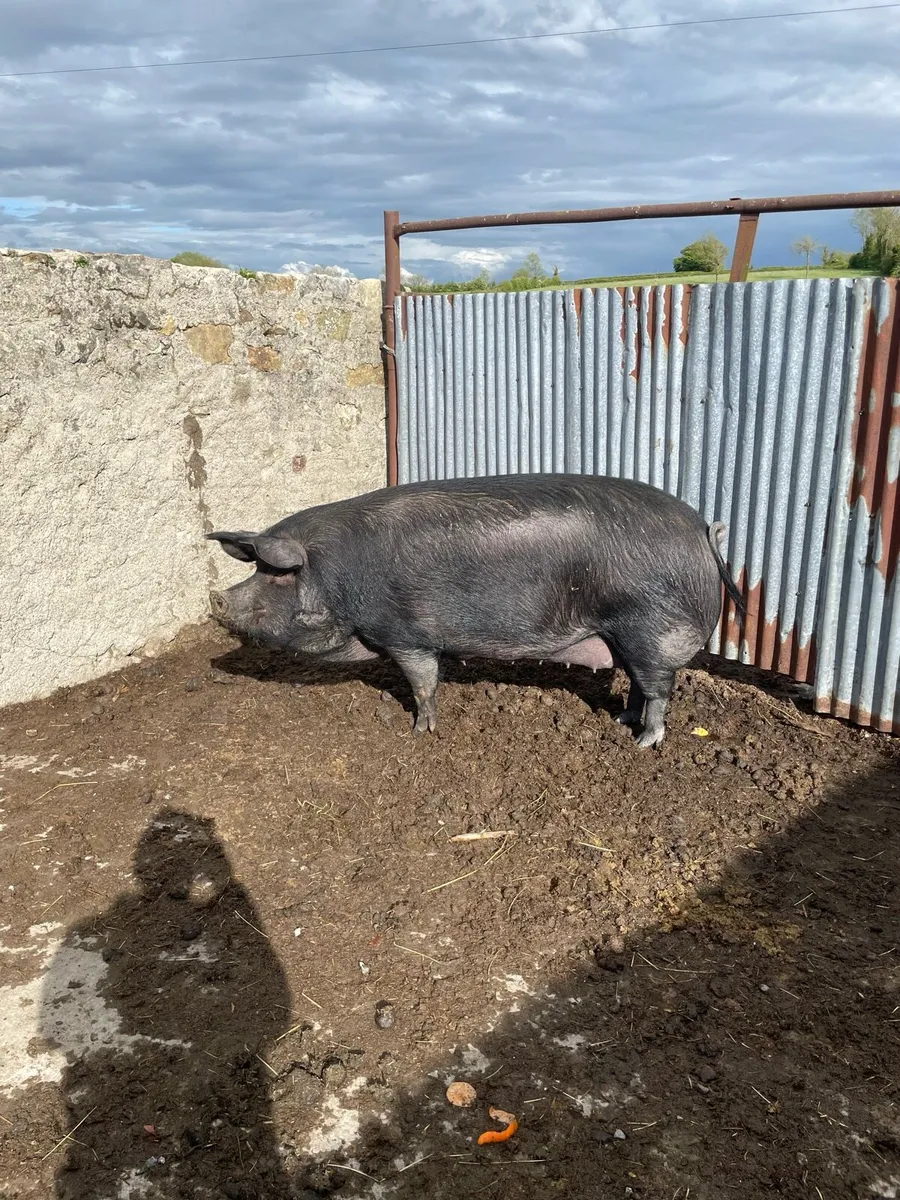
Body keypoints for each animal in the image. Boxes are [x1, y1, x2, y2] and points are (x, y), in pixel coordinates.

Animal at [207, 473, 742, 748]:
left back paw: (643, 742)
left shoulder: (408, 634)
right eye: (256, 569)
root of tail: (702, 529)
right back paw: (621, 723)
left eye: (277, 574)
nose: (216, 599)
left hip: (651, 628)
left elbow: (423, 684)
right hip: (627, 635)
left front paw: (420, 732)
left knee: (659, 691)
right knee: (636, 684)